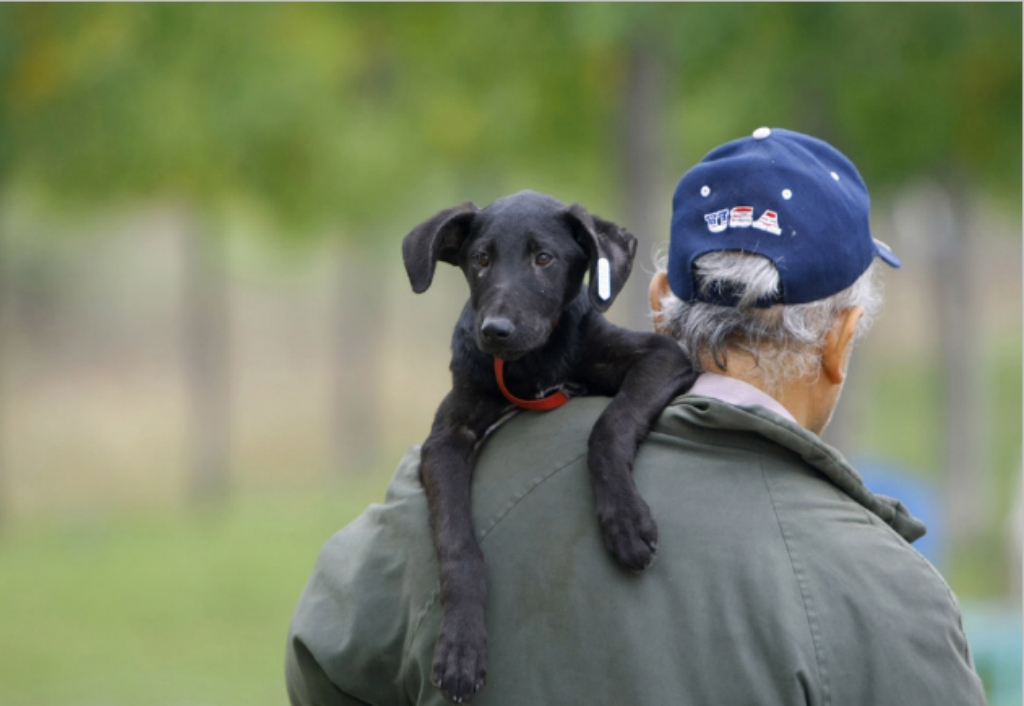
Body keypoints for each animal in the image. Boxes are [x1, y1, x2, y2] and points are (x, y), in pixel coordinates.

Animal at [399, 189, 696, 700]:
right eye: (480, 260)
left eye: (544, 259)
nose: (495, 330)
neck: (531, 368)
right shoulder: (446, 437)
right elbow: (457, 543)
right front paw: (461, 646)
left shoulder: (662, 356)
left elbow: (609, 425)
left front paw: (625, 522)